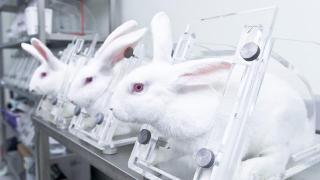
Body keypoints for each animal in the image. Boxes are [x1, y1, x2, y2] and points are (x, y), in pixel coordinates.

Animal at [110, 11, 316, 179]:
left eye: (138, 87)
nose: (111, 107)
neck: (172, 105)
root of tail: (306, 128)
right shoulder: (178, 146)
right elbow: (166, 153)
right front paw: (152, 159)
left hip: (276, 137)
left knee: (278, 159)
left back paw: (246, 170)